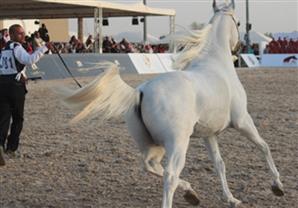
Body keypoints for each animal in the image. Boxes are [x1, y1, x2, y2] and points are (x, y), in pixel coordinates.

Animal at [58, 0, 284, 207]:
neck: (218, 65)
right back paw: (186, 192)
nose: (237, 49)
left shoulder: (209, 134)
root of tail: (140, 92)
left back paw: (191, 193)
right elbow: (264, 147)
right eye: (238, 22)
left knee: (151, 167)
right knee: (170, 175)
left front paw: (231, 199)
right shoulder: (242, 121)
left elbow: (219, 164)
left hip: (153, 144)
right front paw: (277, 186)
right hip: (178, 143)